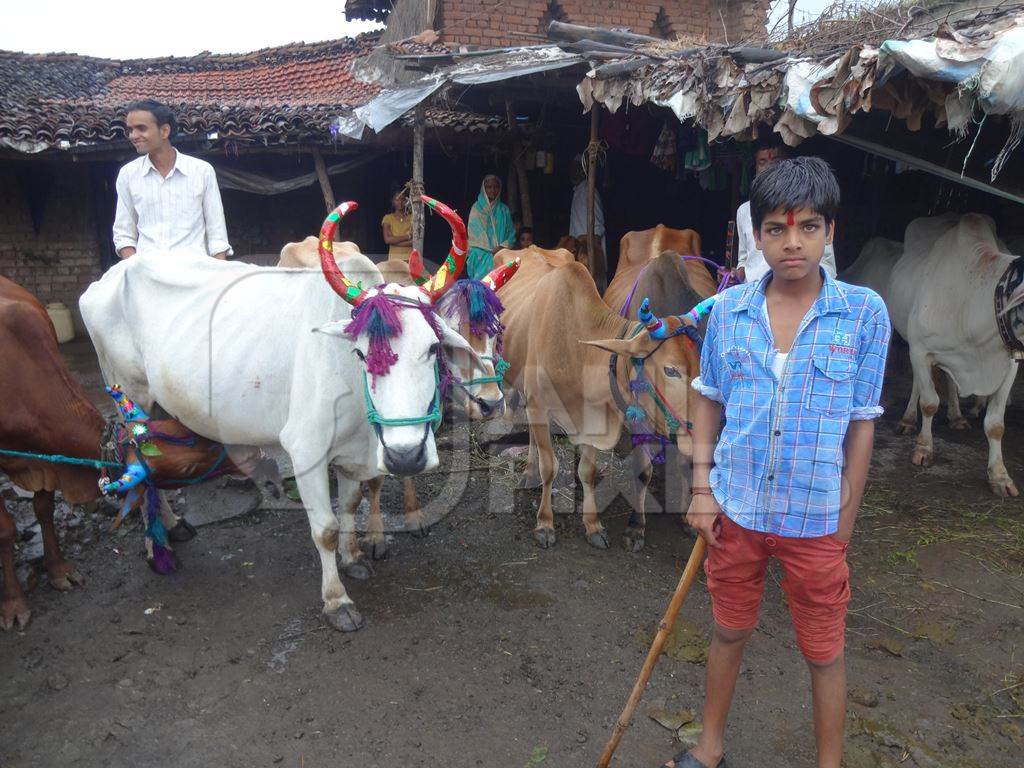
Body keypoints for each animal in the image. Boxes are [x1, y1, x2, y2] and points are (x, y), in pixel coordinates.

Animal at [1, 276, 256, 630]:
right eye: (188, 470)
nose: (244, 456)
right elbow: (6, 529)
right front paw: (13, 604)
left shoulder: (44, 463)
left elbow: (44, 508)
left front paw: (59, 570)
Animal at [491, 246, 700, 552]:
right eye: (670, 370)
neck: (575, 348)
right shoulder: (540, 404)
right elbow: (549, 467)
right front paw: (544, 523)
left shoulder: (592, 418)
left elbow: (587, 471)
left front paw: (592, 526)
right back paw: (529, 471)